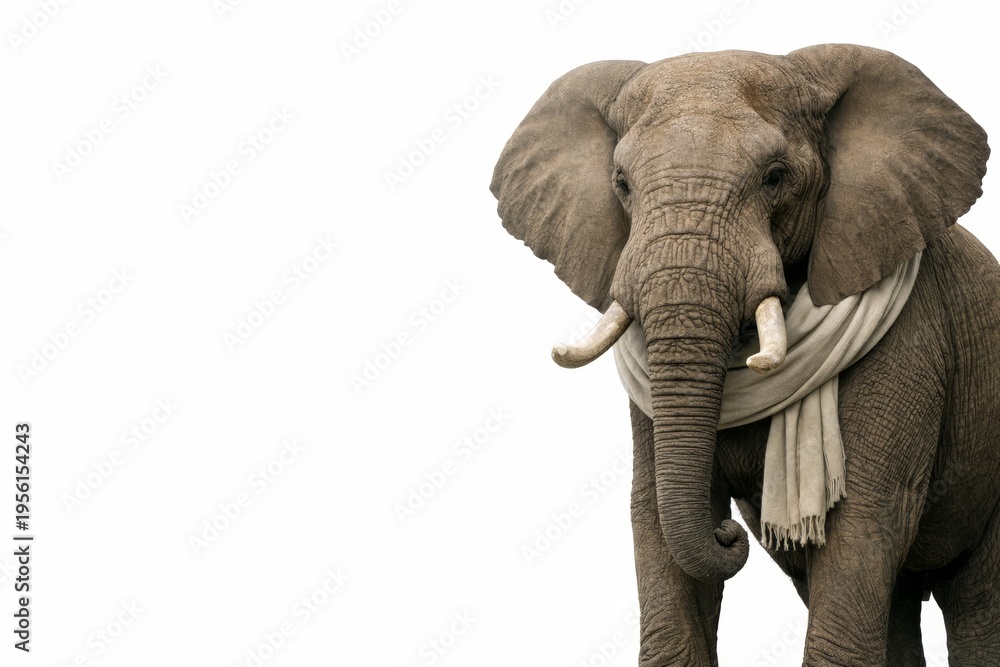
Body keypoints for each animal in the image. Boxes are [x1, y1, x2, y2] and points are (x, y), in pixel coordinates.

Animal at [490, 44, 998, 665]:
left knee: (977, 599)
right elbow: (654, 514)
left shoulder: (913, 333)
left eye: (776, 176)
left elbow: (864, 517)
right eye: (621, 183)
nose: (730, 534)